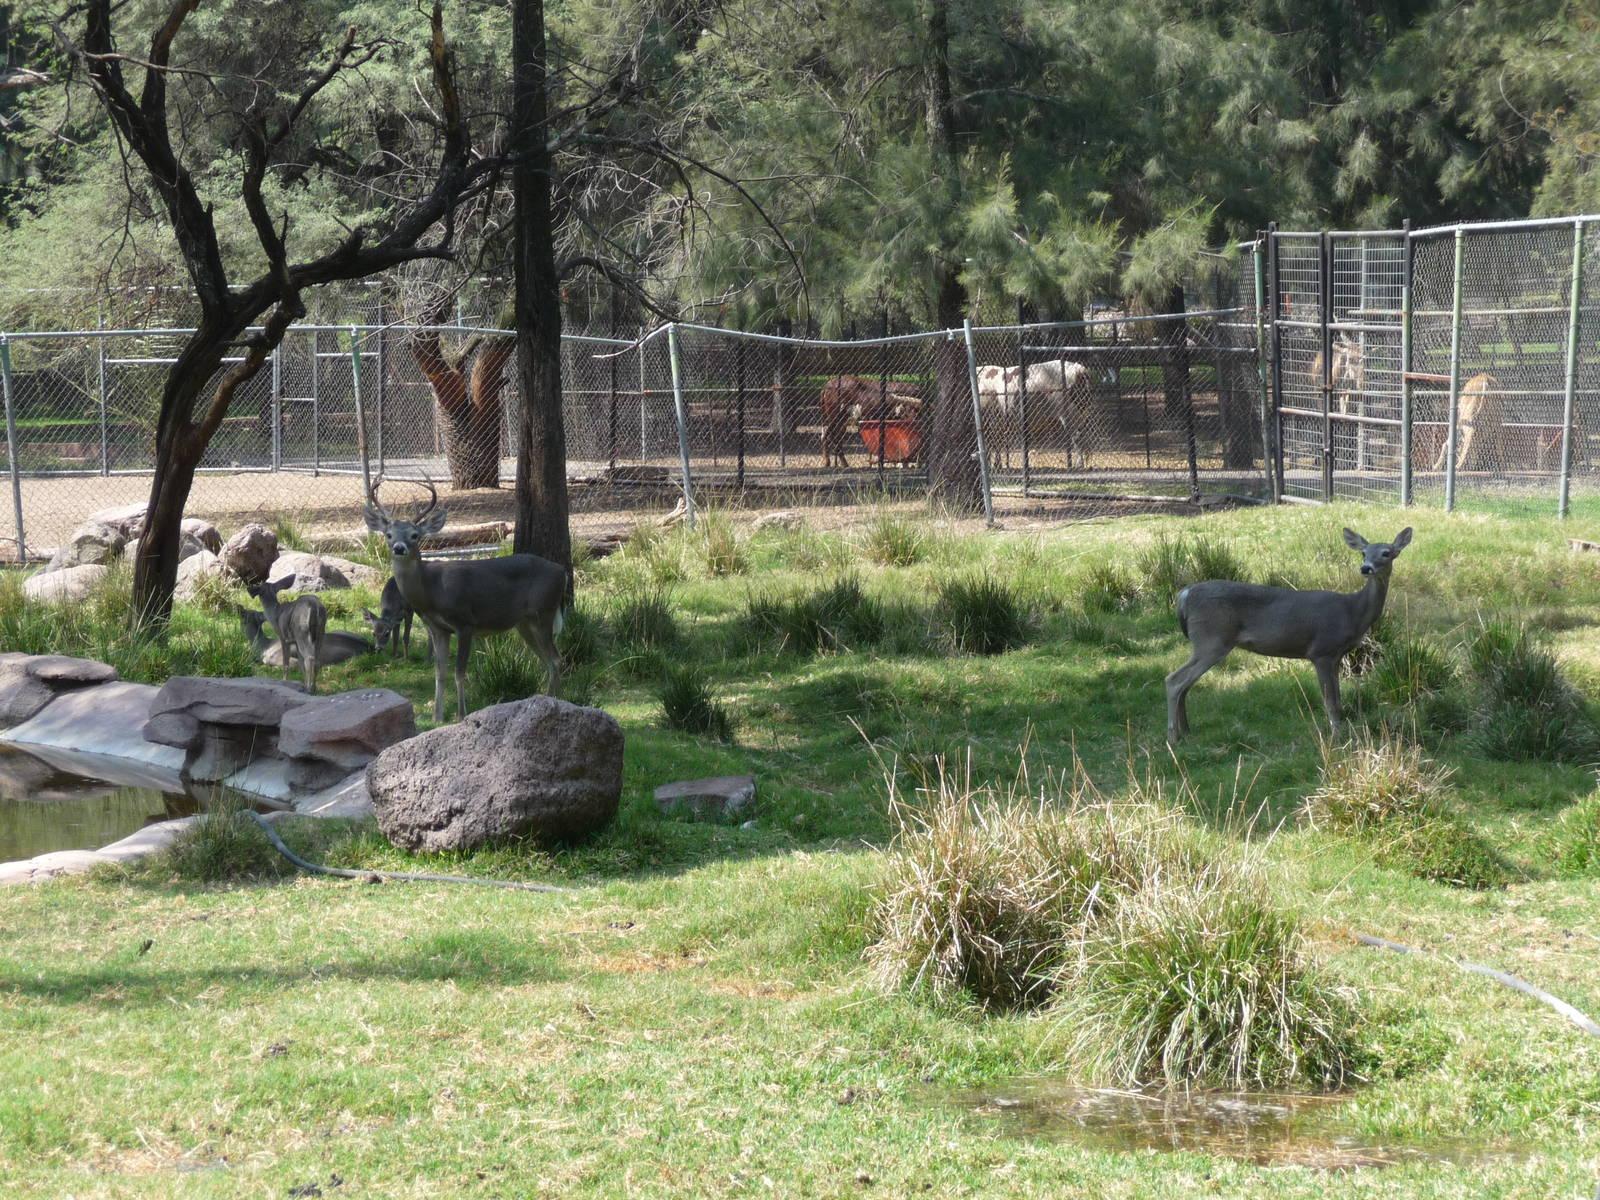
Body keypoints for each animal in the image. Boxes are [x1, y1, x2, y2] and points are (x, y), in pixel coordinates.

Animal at [363, 477, 566, 723]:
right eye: (388, 534)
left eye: (414, 535)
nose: (399, 548)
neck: (431, 591)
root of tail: (562, 571)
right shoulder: (437, 629)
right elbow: (440, 672)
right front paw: (436, 717)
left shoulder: (465, 622)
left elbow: (459, 671)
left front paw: (461, 714)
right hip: (525, 623)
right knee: (547, 660)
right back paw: (548, 701)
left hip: (544, 611)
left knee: (556, 659)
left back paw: (555, 704)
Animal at [1165, 527, 1413, 744]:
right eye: (1363, 553)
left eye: (1386, 553)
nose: (1365, 568)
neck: (1352, 612)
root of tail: (1184, 594)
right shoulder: (1321, 651)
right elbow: (1330, 702)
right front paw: (1336, 738)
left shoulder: (1336, 656)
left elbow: (1339, 700)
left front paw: (1341, 732)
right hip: (1212, 638)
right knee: (1174, 680)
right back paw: (1173, 737)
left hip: (1207, 640)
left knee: (1185, 683)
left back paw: (1186, 731)